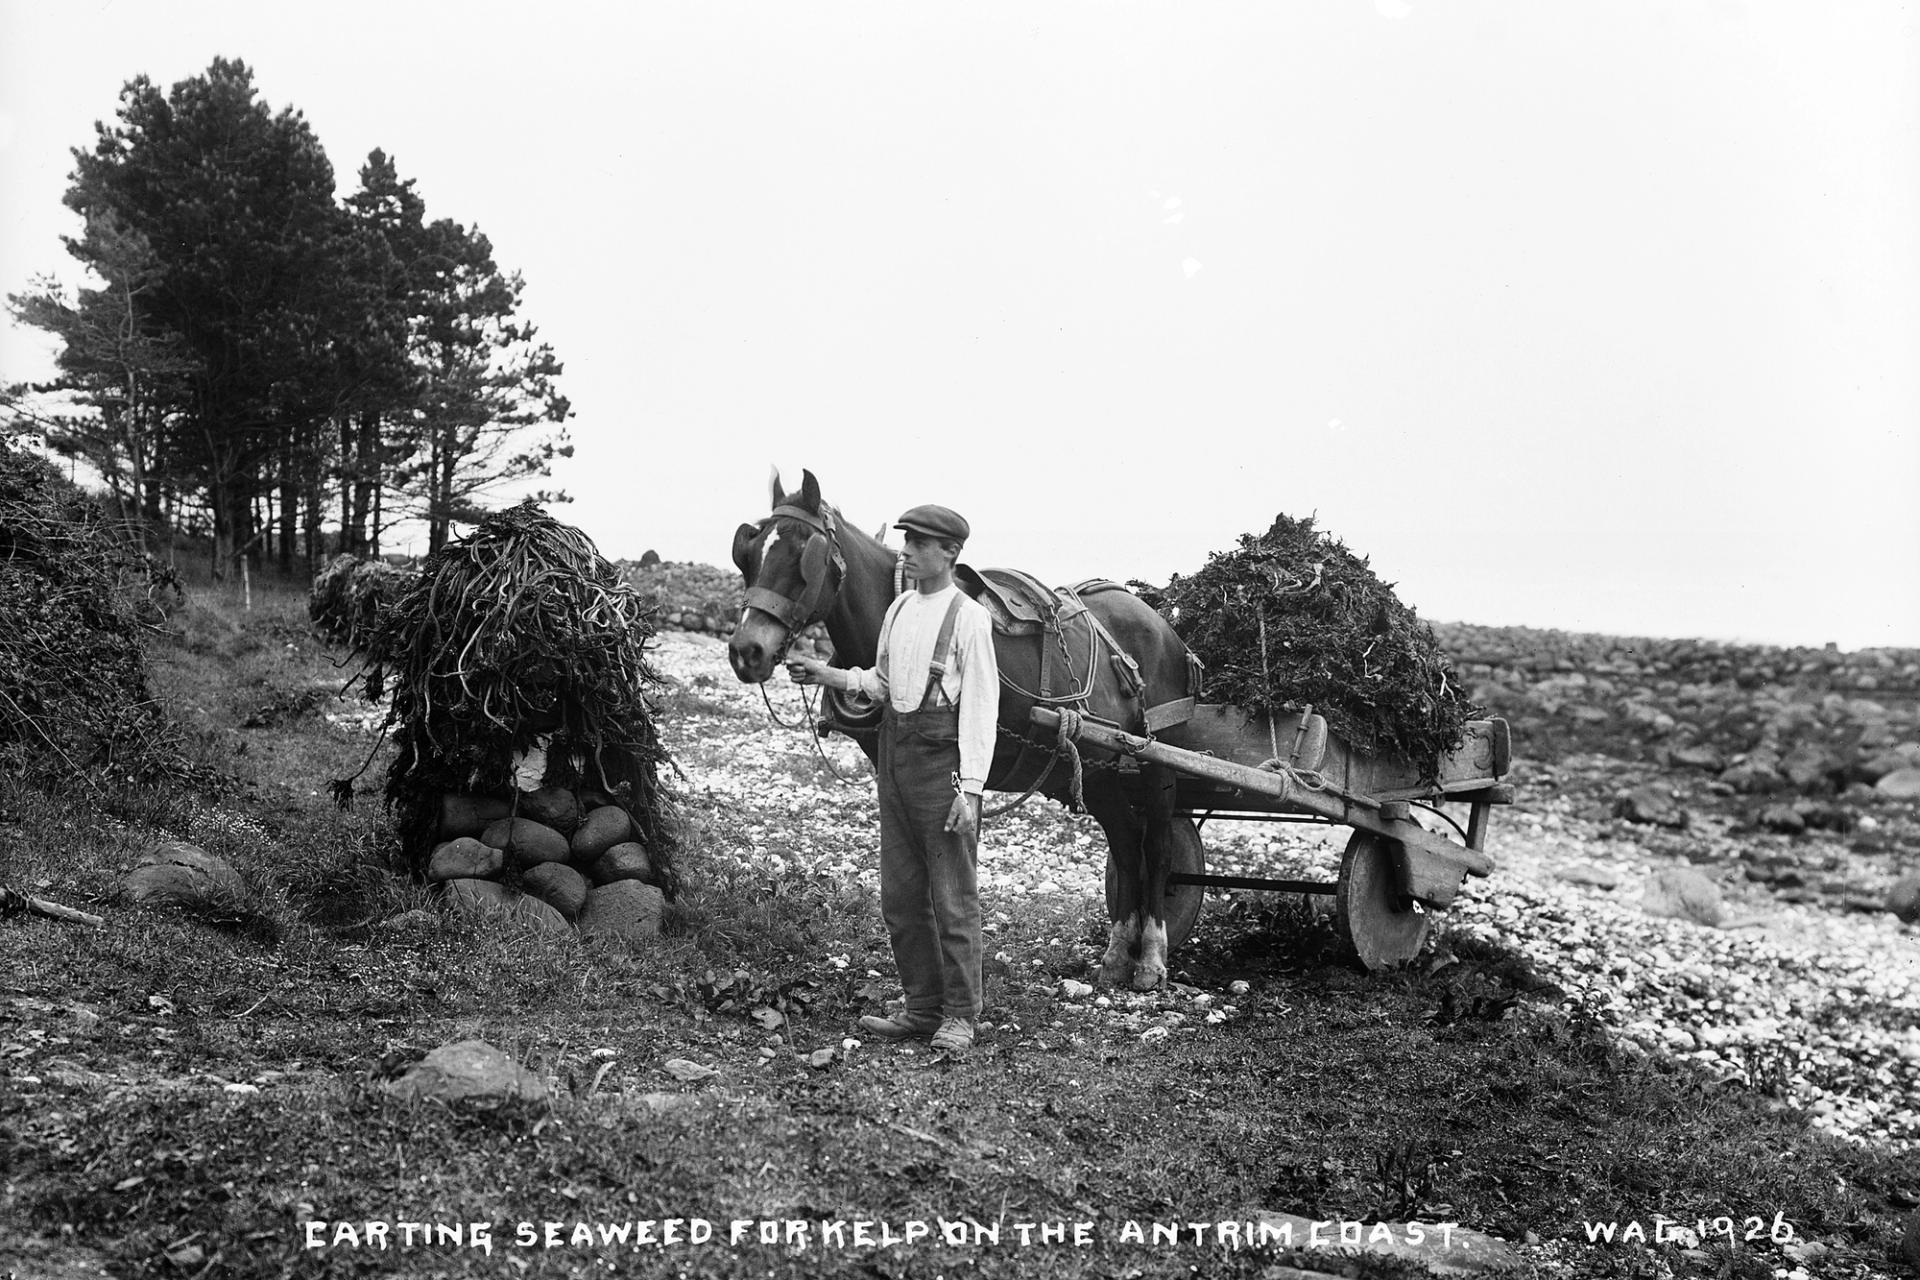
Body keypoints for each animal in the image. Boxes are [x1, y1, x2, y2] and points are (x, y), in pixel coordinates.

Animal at [729, 470, 1198, 990]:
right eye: (749, 553)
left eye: (802, 558)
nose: (747, 651)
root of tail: (1162, 624)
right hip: (1100, 768)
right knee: (1125, 839)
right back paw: (1117, 955)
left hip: (1159, 760)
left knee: (1156, 847)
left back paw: (1151, 956)